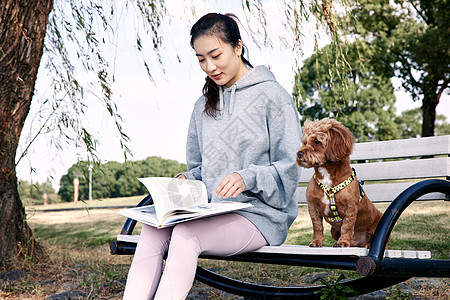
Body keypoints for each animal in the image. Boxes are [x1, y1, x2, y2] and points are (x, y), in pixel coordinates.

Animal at [298, 118, 382, 247]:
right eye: (304, 142)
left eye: (317, 141)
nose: (298, 154)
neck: (327, 176)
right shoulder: (312, 207)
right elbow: (317, 226)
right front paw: (316, 241)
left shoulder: (351, 208)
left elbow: (347, 227)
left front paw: (343, 242)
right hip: (333, 231)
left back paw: (367, 245)